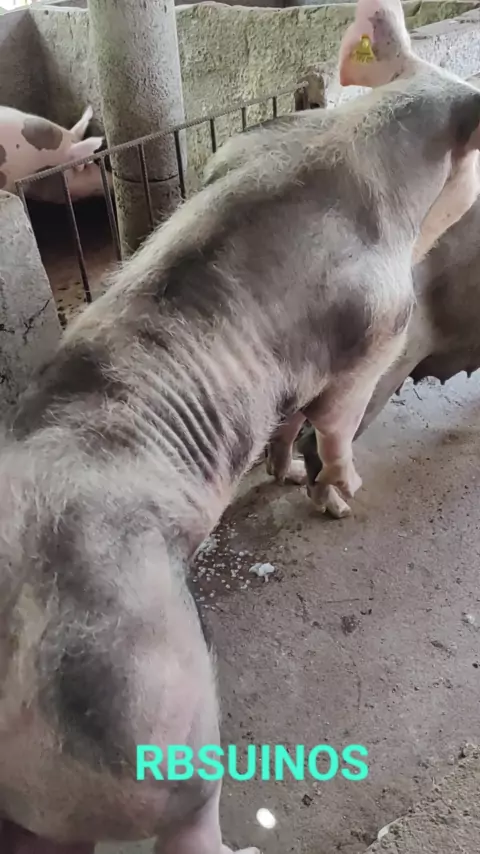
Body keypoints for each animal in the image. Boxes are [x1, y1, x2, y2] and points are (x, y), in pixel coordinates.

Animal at [3, 0, 480, 849]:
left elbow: (286, 421)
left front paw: (283, 472)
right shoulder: (375, 332)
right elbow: (335, 422)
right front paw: (341, 496)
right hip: (154, 719)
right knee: (189, 814)